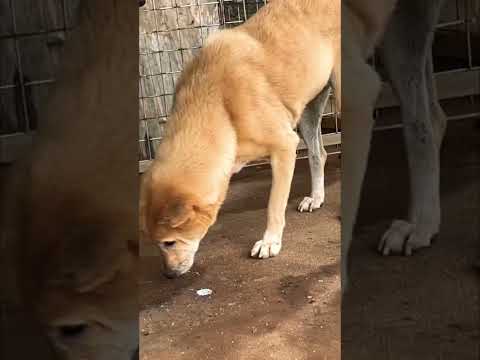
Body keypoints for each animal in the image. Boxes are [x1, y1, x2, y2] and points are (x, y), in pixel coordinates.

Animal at [141, 0, 340, 278]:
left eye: (169, 242)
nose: (169, 275)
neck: (217, 104)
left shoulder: (284, 146)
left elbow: (274, 205)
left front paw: (270, 241)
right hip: (309, 110)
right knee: (318, 154)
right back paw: (317, 197)